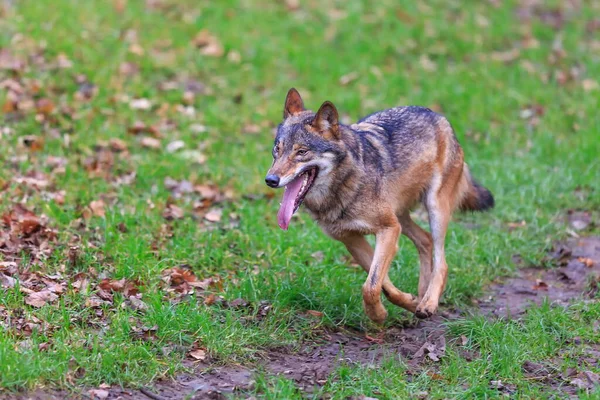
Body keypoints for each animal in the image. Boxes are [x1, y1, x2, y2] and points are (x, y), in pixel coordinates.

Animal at [264, 89, 494, 324]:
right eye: (277, 149)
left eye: (301, 152)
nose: (270, 180)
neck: (343, 186)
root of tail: (437, 115)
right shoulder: (352, 239)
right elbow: (382, 285)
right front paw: (406, 303)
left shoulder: (388, 229)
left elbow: (371, 286)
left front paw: (378, 315)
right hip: (401, 217)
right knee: (425, 240)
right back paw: (421, 295)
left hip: (434, 208)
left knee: (442, 262)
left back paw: (429, 302)